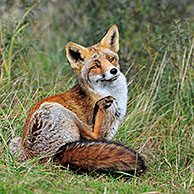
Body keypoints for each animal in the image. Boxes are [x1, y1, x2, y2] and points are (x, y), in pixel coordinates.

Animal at [9, 24, 146, 174]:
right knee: (93, 134)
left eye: (111, 59)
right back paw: (100, 106)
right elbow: (97, 136)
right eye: (96, 66)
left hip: (14, 142)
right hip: (58, 110)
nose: (113, 71)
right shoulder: (105, 131)